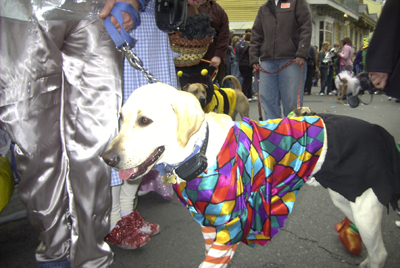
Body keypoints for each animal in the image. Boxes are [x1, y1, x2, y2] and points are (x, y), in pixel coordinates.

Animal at [104, 83, 400, 268]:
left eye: (144, 121)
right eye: (119, 117)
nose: (106, 159)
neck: (200, 153)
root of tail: (378, 130)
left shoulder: (230, 226)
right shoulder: (209, 226)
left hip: (366, 209)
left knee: (381, 253)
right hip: (347, 200)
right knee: (374, 251)